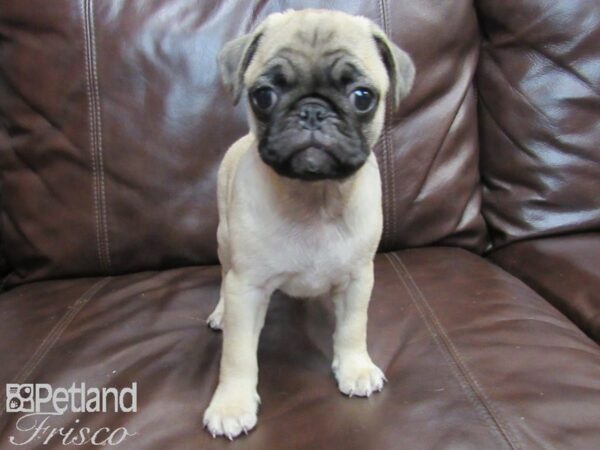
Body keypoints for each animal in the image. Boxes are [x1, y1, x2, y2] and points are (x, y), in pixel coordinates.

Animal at [204, 8, 414, 440]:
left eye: (363, 97)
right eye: (263, 95)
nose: (313, 110)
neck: (314, 198)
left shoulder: (358, 279)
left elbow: (352, 328)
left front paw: (354, 368)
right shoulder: (246, 287)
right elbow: (237, 354)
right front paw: (232, 403)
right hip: (224, 242)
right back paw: (219, 312)